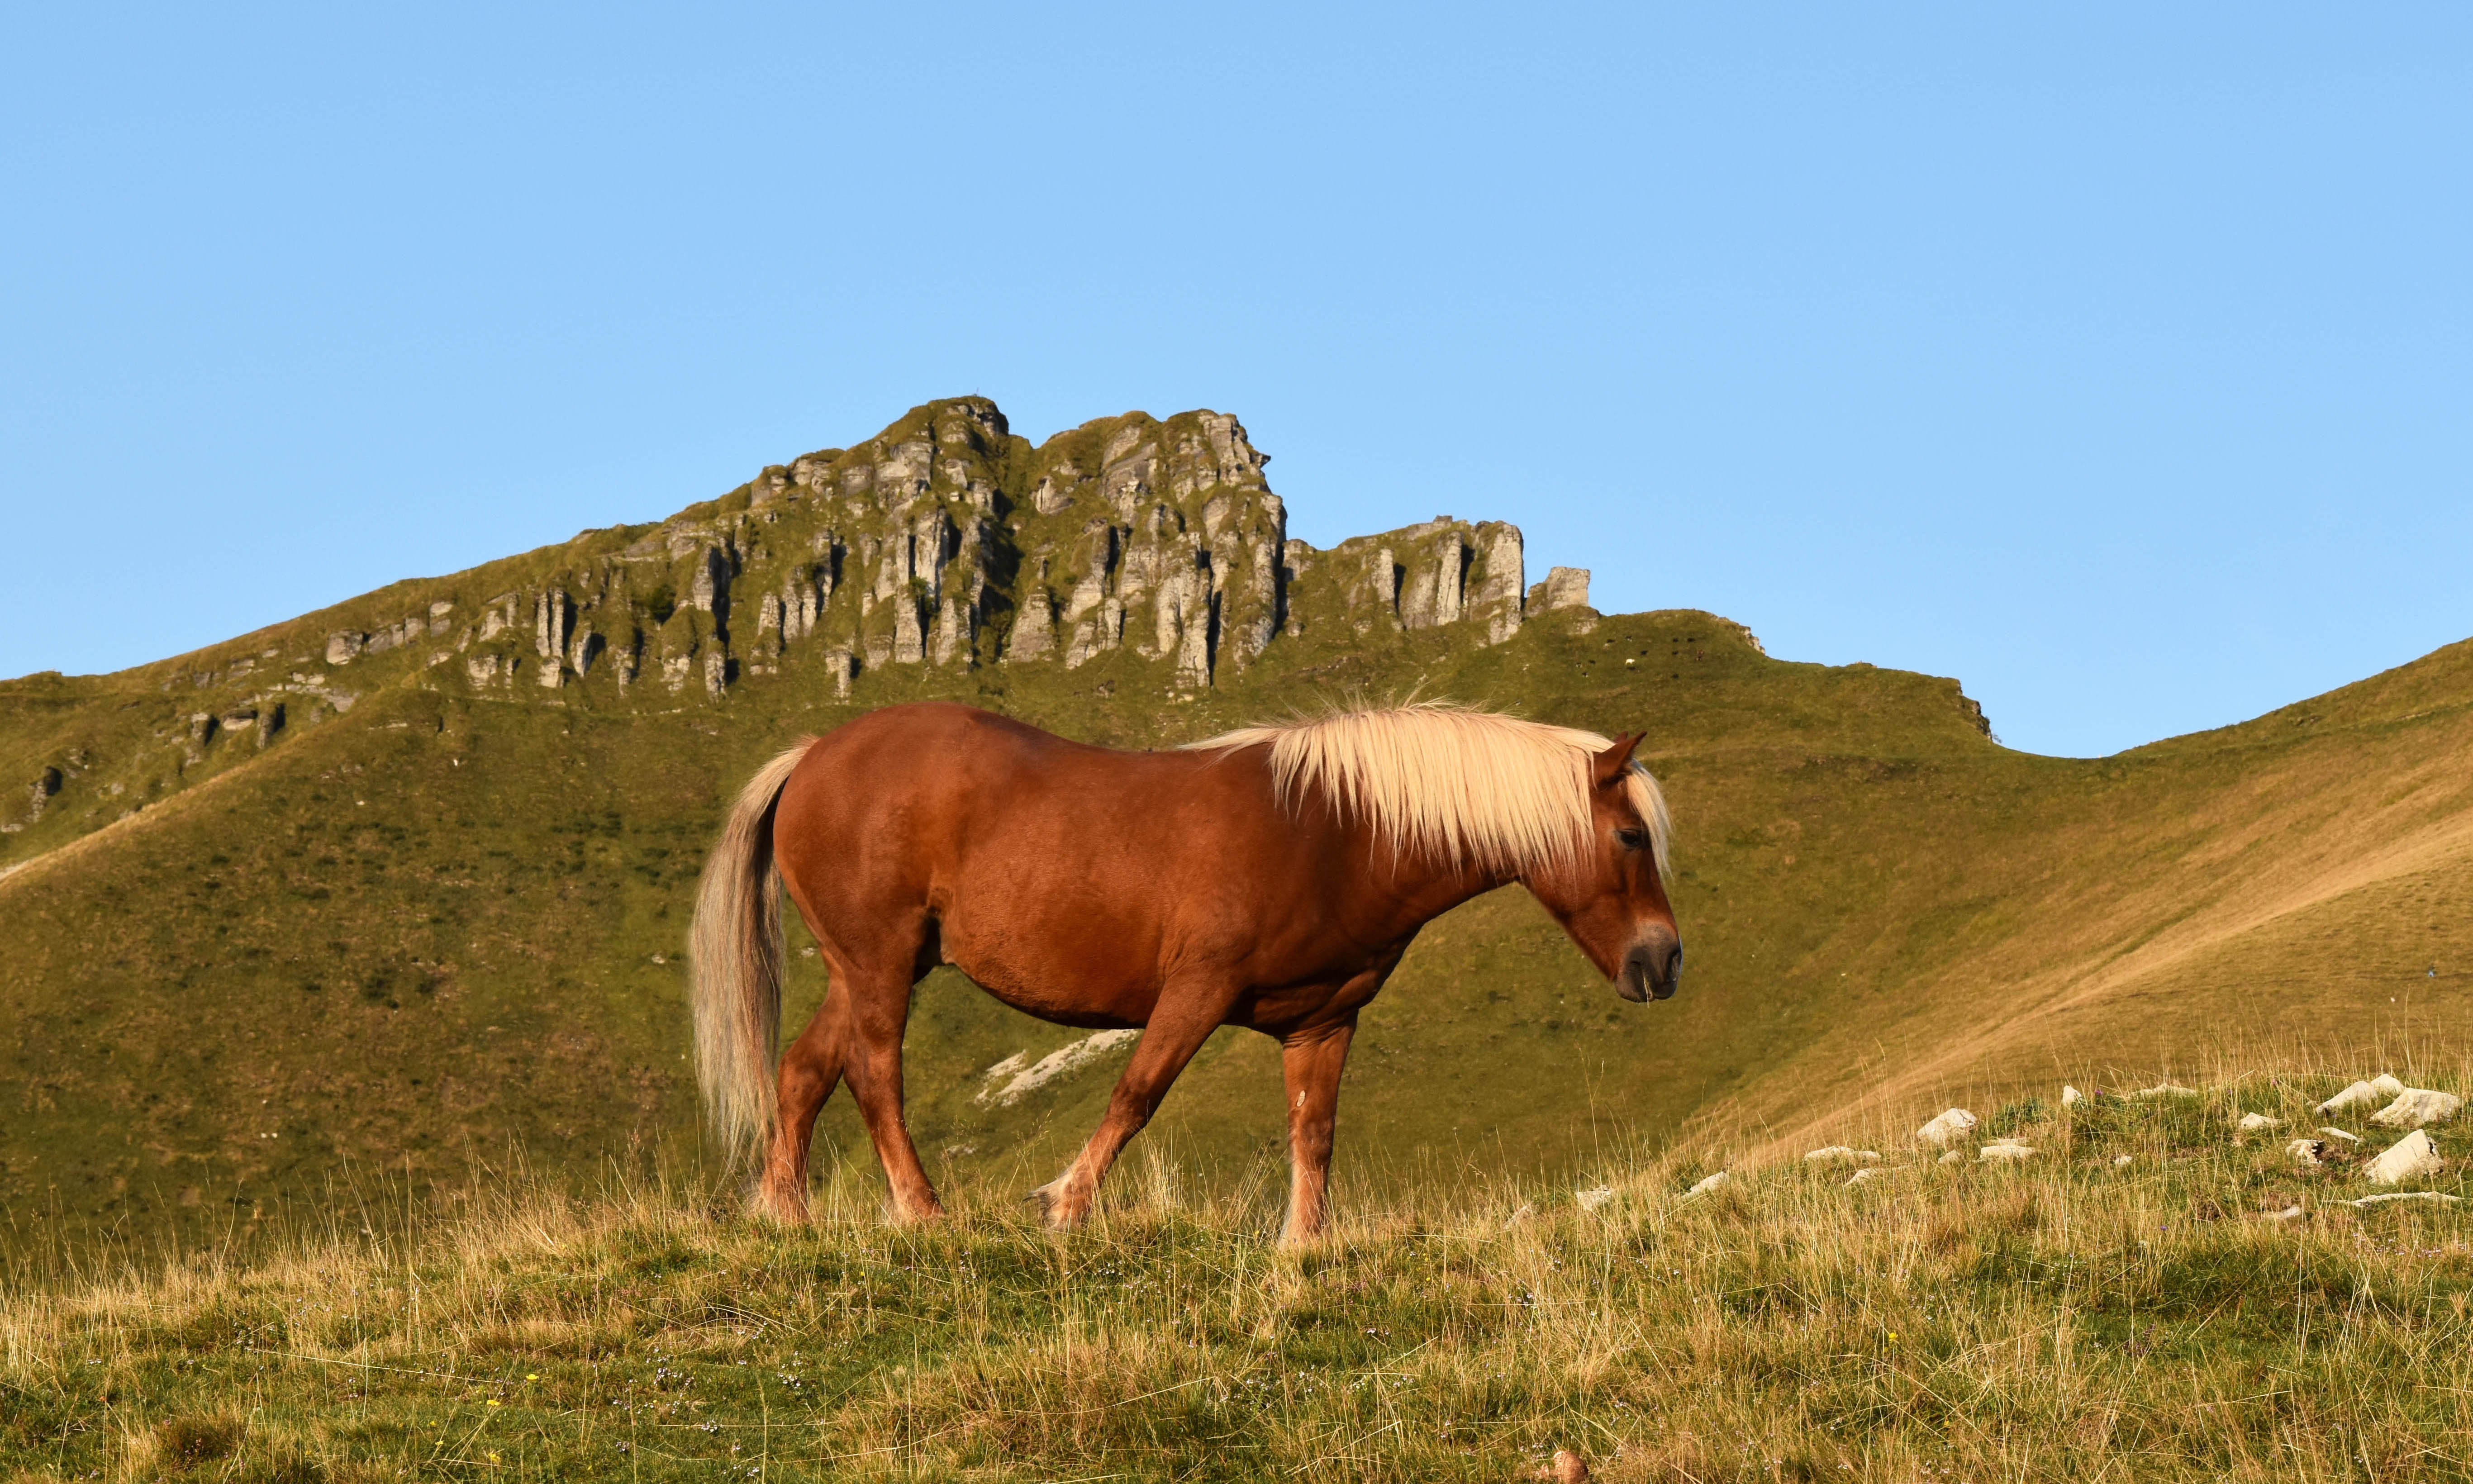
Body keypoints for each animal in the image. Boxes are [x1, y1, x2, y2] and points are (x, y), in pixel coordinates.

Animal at [692, 702, 1681, 1246]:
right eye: (1631, 835)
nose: (1665, 961)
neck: (1336, 831)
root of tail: (815, 754)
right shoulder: (1196, 992)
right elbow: (1136, 1095)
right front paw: (1066, 1205)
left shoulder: (1324, 1021)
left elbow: (1314, 1134)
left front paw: (1303, 1248)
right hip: (883, 965)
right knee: (873, 1075)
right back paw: (922, 1211)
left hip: (863, 969)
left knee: (804, 1071)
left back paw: (788, 1214)